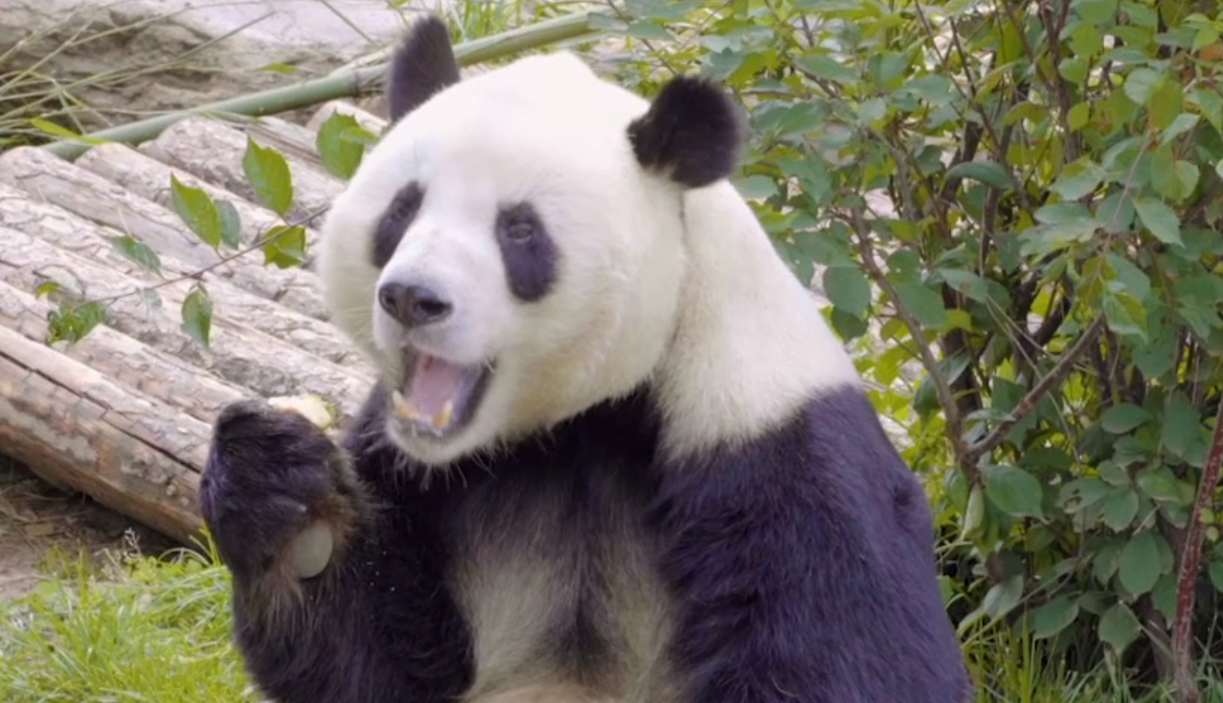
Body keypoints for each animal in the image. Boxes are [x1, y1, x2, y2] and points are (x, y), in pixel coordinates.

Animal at [198, 13, 970, 703]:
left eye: (518, 230)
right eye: (401, 210)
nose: (412, 298)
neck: (586, 416)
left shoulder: (774, 447)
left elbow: (850, 658)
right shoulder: (422, 471)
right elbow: (383, 662)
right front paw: (279, 485)